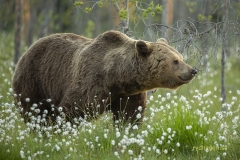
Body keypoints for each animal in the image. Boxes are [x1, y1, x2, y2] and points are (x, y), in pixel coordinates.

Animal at [12, 30, 197, 124]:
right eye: (175, 61)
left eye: (181, 57)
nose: (192, 70)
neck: (117, 77)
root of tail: (27, 50)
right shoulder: (90, 83)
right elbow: (72, 110)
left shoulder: (129, 94)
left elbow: (129, 116)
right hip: (34, 80)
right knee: (34, 111)